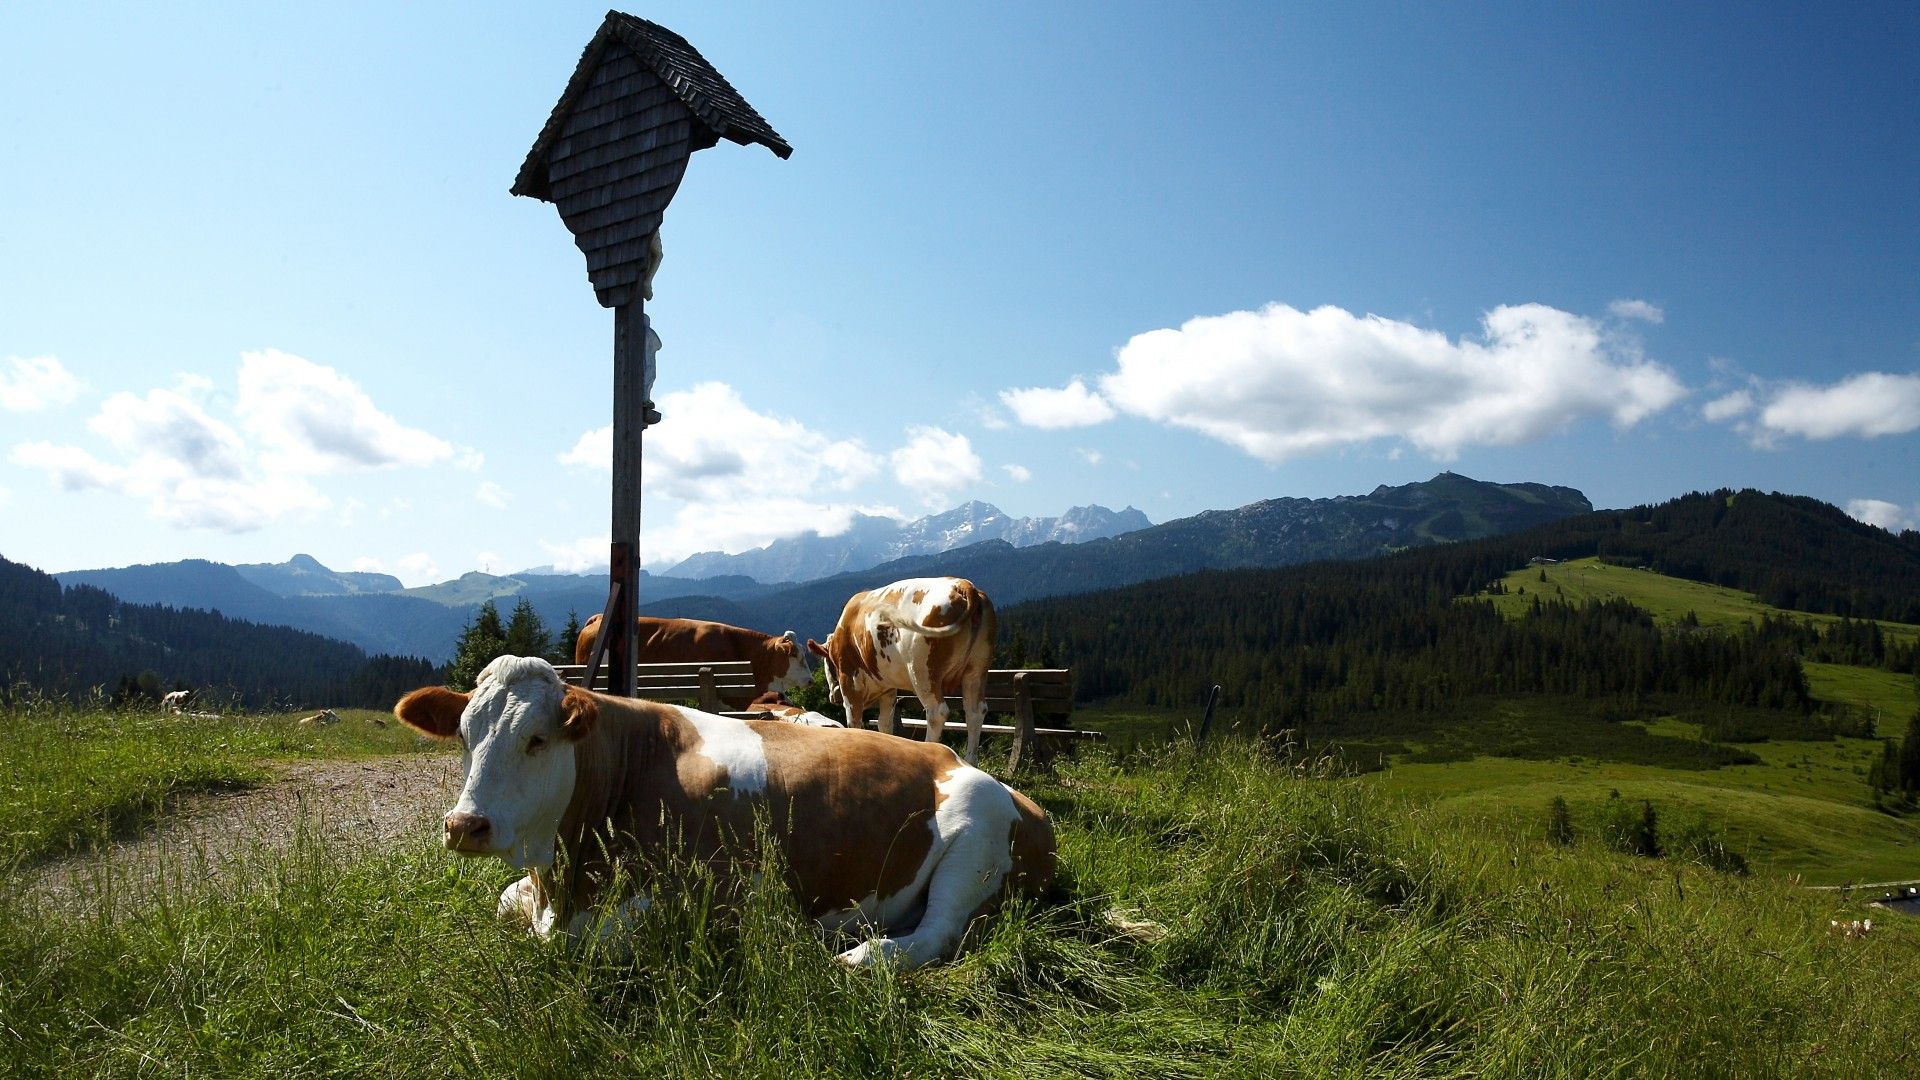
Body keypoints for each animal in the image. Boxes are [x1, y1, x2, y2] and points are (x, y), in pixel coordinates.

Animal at [393, 655, 1054, 968]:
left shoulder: (714, 899)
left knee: (938, 930)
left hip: (976, 839)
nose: (465, 826)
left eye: (536, 740)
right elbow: (505, 902)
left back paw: (858, 959)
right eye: (463, 734)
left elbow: (591, 943)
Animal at [806, 577, 997, 765]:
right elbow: (884, 724)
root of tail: (963, 585)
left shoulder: (849, 681)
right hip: (976, 670)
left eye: (828, 664)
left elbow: (854, 722)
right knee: (975, 712)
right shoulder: (888, 689)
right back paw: (971, 762)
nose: (833, 697)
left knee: (937, 712)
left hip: (923, 672)